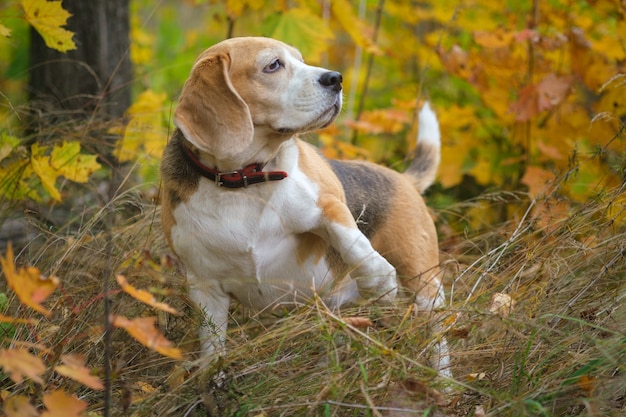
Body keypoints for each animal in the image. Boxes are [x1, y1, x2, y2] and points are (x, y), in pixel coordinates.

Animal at [158, 35, 446, 374]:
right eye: (273, 65)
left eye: (301, 60)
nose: (336, 79)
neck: (245, 182)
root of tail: (403, 178)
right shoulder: (204, 287)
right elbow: (212, 347)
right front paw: (212, 377)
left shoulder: (327, 205)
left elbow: (353, 242)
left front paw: (379, 281)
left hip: (422, 278)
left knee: (438, 331)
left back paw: (443, 378)